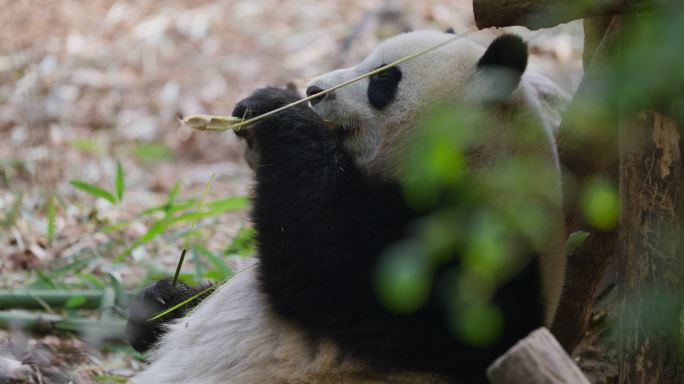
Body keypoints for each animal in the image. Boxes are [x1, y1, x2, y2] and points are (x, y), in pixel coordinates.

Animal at [127, 30, 568, 384]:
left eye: (383, 80)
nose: (313, 91)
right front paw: (162, 301)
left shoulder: (473, 259)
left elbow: (325, 265)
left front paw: (275, 107)